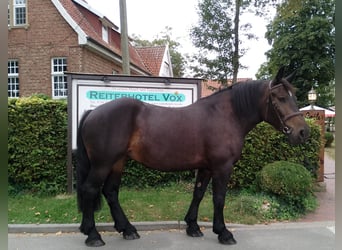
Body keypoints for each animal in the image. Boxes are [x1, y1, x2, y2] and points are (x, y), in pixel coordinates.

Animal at [77, 66, 310, 246]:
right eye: (281, 98)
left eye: (294, 97)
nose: (303, 132)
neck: (227, 115)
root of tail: (93, 112)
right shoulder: (222, 167)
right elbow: (219, 198)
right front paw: (223, 232)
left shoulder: (206, 167)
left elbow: (198, 194)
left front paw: (193, 226)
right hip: (102, 164)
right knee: (90, 190)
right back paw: (93, 235)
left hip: (118, 162)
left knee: (111, 192)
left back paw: (127, 229)